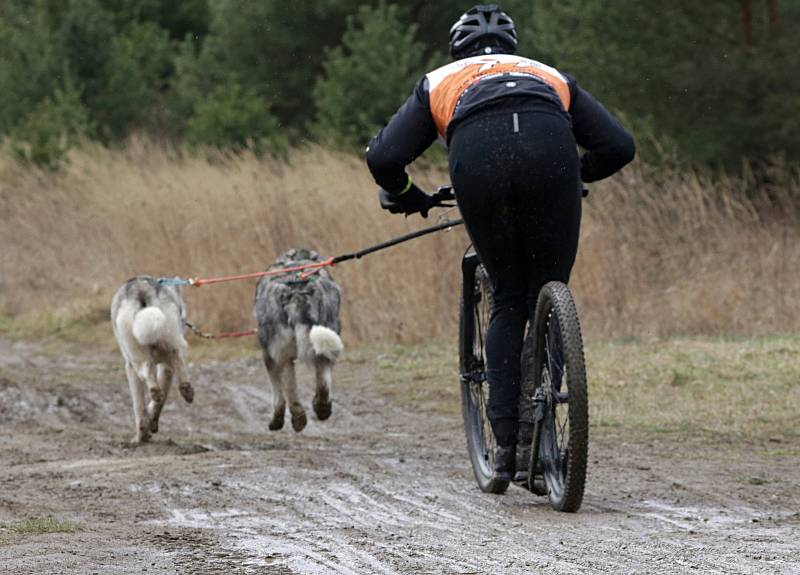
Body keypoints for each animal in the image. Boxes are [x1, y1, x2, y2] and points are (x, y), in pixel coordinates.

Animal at [110, 280, 195, 446]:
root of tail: (141, 288)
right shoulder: (166, 368)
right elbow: (157, 402)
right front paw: (151, 422)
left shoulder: (130, 368)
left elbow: (139, 408)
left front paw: (142, 434)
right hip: (170, 343)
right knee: (176, 359)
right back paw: (186, 389)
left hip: (136, 359)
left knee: (148, 372)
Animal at [256, 248, 344, 432]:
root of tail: (297, 293)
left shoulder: (270, 355)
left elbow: (280, 393)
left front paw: (277, 420)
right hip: (326, 336)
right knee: (323, 378)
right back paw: (321, 408)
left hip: (277, 352)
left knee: (288, 389)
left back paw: (298, 418)